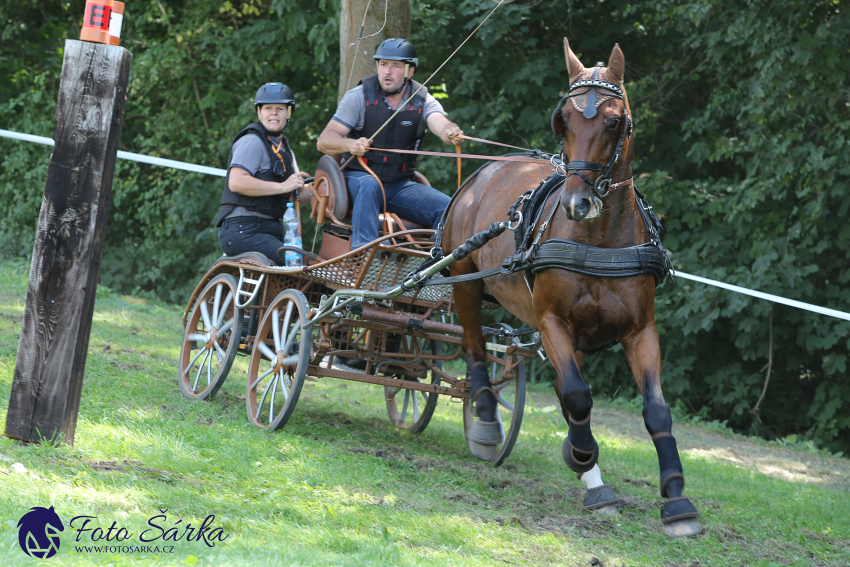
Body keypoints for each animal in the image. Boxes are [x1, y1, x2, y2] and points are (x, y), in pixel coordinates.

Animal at [440, 38, 700, 536]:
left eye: (614, 121)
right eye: (564, 119)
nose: (576, 203)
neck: (598, 239)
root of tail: (484, 171)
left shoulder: (640, 330)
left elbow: (654, 409)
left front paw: (676, 497)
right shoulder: (551, 322)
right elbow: (578, 396)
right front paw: (582, 454)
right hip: (464, 281)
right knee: (475, 348)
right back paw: (485, 420)